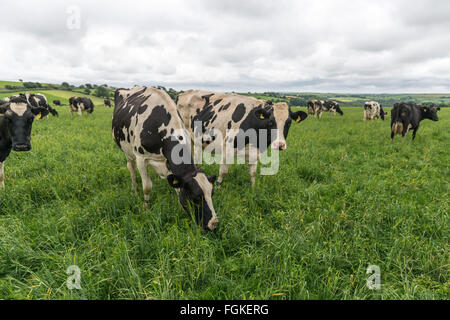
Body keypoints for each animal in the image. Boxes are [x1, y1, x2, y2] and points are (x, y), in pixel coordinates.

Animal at [111, 86, 219, 231]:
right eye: (195, 198)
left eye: (211, 194)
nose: (214, 224)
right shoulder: (141, 158)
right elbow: (147, 187)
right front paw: (146, 207)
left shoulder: (169, 163)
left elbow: (177, 188)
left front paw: (179, 208)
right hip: (127, 151)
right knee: (131, 168)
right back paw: (134, 190)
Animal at [178, 90, 308, 186]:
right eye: (270, 122)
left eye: (289, 123)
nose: (280, 145)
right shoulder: (227, 149)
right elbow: (223, 171)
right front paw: (218, 186)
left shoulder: (255, 152)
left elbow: (253, 174)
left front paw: (252, 189)